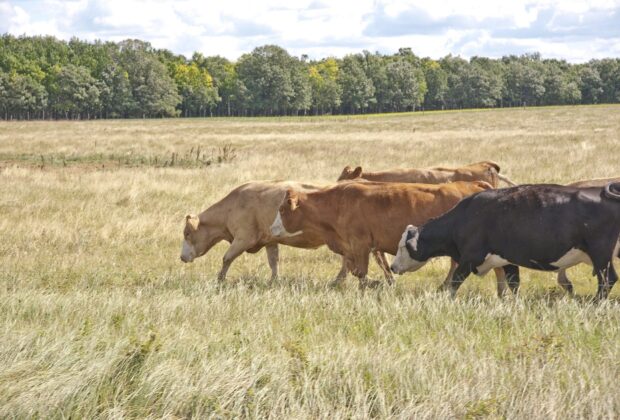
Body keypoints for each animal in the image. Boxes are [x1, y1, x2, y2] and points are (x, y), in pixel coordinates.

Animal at [179, 180, 392, 282]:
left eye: (187, 234)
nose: (182, 257)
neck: (234, 204)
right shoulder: (270, 241)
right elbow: (274, 262)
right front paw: (274, 280)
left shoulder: (243, 238)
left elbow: (226, 258)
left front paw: (220, 279)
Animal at [272, 180, 520, 292]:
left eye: (282, 209)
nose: (272, 229)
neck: (337, 203)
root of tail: (475, 183)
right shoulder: (360, 246)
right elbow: (358, 268)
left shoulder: (360, 244)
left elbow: (359, 271)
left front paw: (371, 284)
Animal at [392, 183, 620, 298]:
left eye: (402, 246)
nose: (393, 267)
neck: (465, 216)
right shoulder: (508, 260)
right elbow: (513, 284)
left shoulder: (469, 258)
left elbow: (455, 282)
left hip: (600, 255)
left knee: (607, 280)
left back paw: (595, 304)